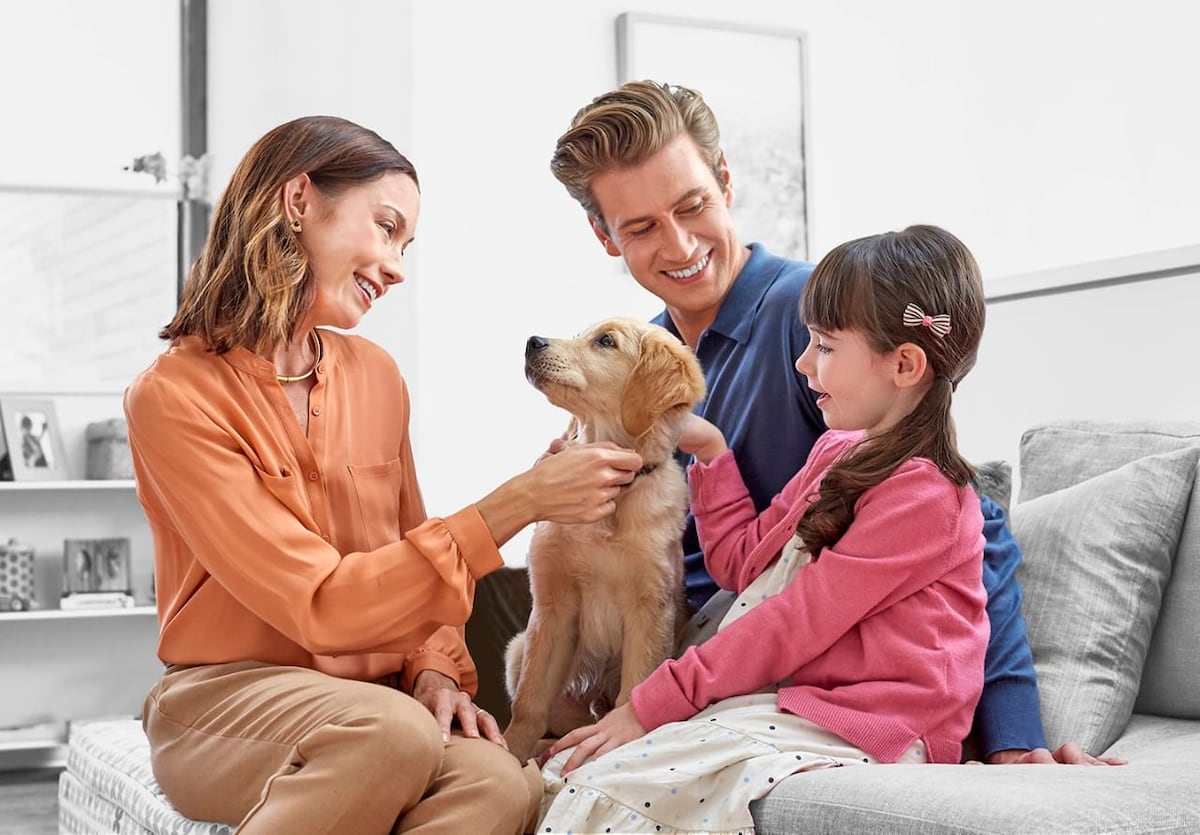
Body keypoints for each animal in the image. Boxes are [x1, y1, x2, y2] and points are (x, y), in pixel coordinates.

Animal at [501, 316, 705, 758]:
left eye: (606, 342)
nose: (531, 342)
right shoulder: (553, 606)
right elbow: (529, 702)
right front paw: (508, 752)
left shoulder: (650, 607)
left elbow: (634, 689)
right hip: (518, 648)